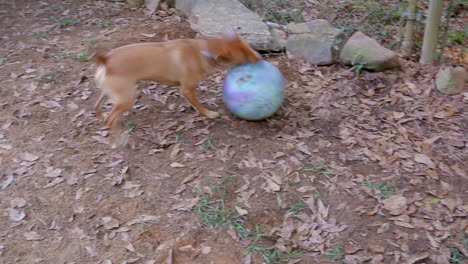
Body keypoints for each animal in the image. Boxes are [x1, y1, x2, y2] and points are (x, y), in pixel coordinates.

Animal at [93, 28, 262, 136]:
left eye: (249, 46)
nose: (260, 58)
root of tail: (106, 60)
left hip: (110, 93)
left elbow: (193, 102)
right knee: (110, 119)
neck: (202, 50)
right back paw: (120, 140)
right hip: (127, 98)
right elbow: (199, 104)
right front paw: (209, 113)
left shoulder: (186, 91)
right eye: (244, 55)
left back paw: (101, 120)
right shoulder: (186, 89)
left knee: (97, 106)